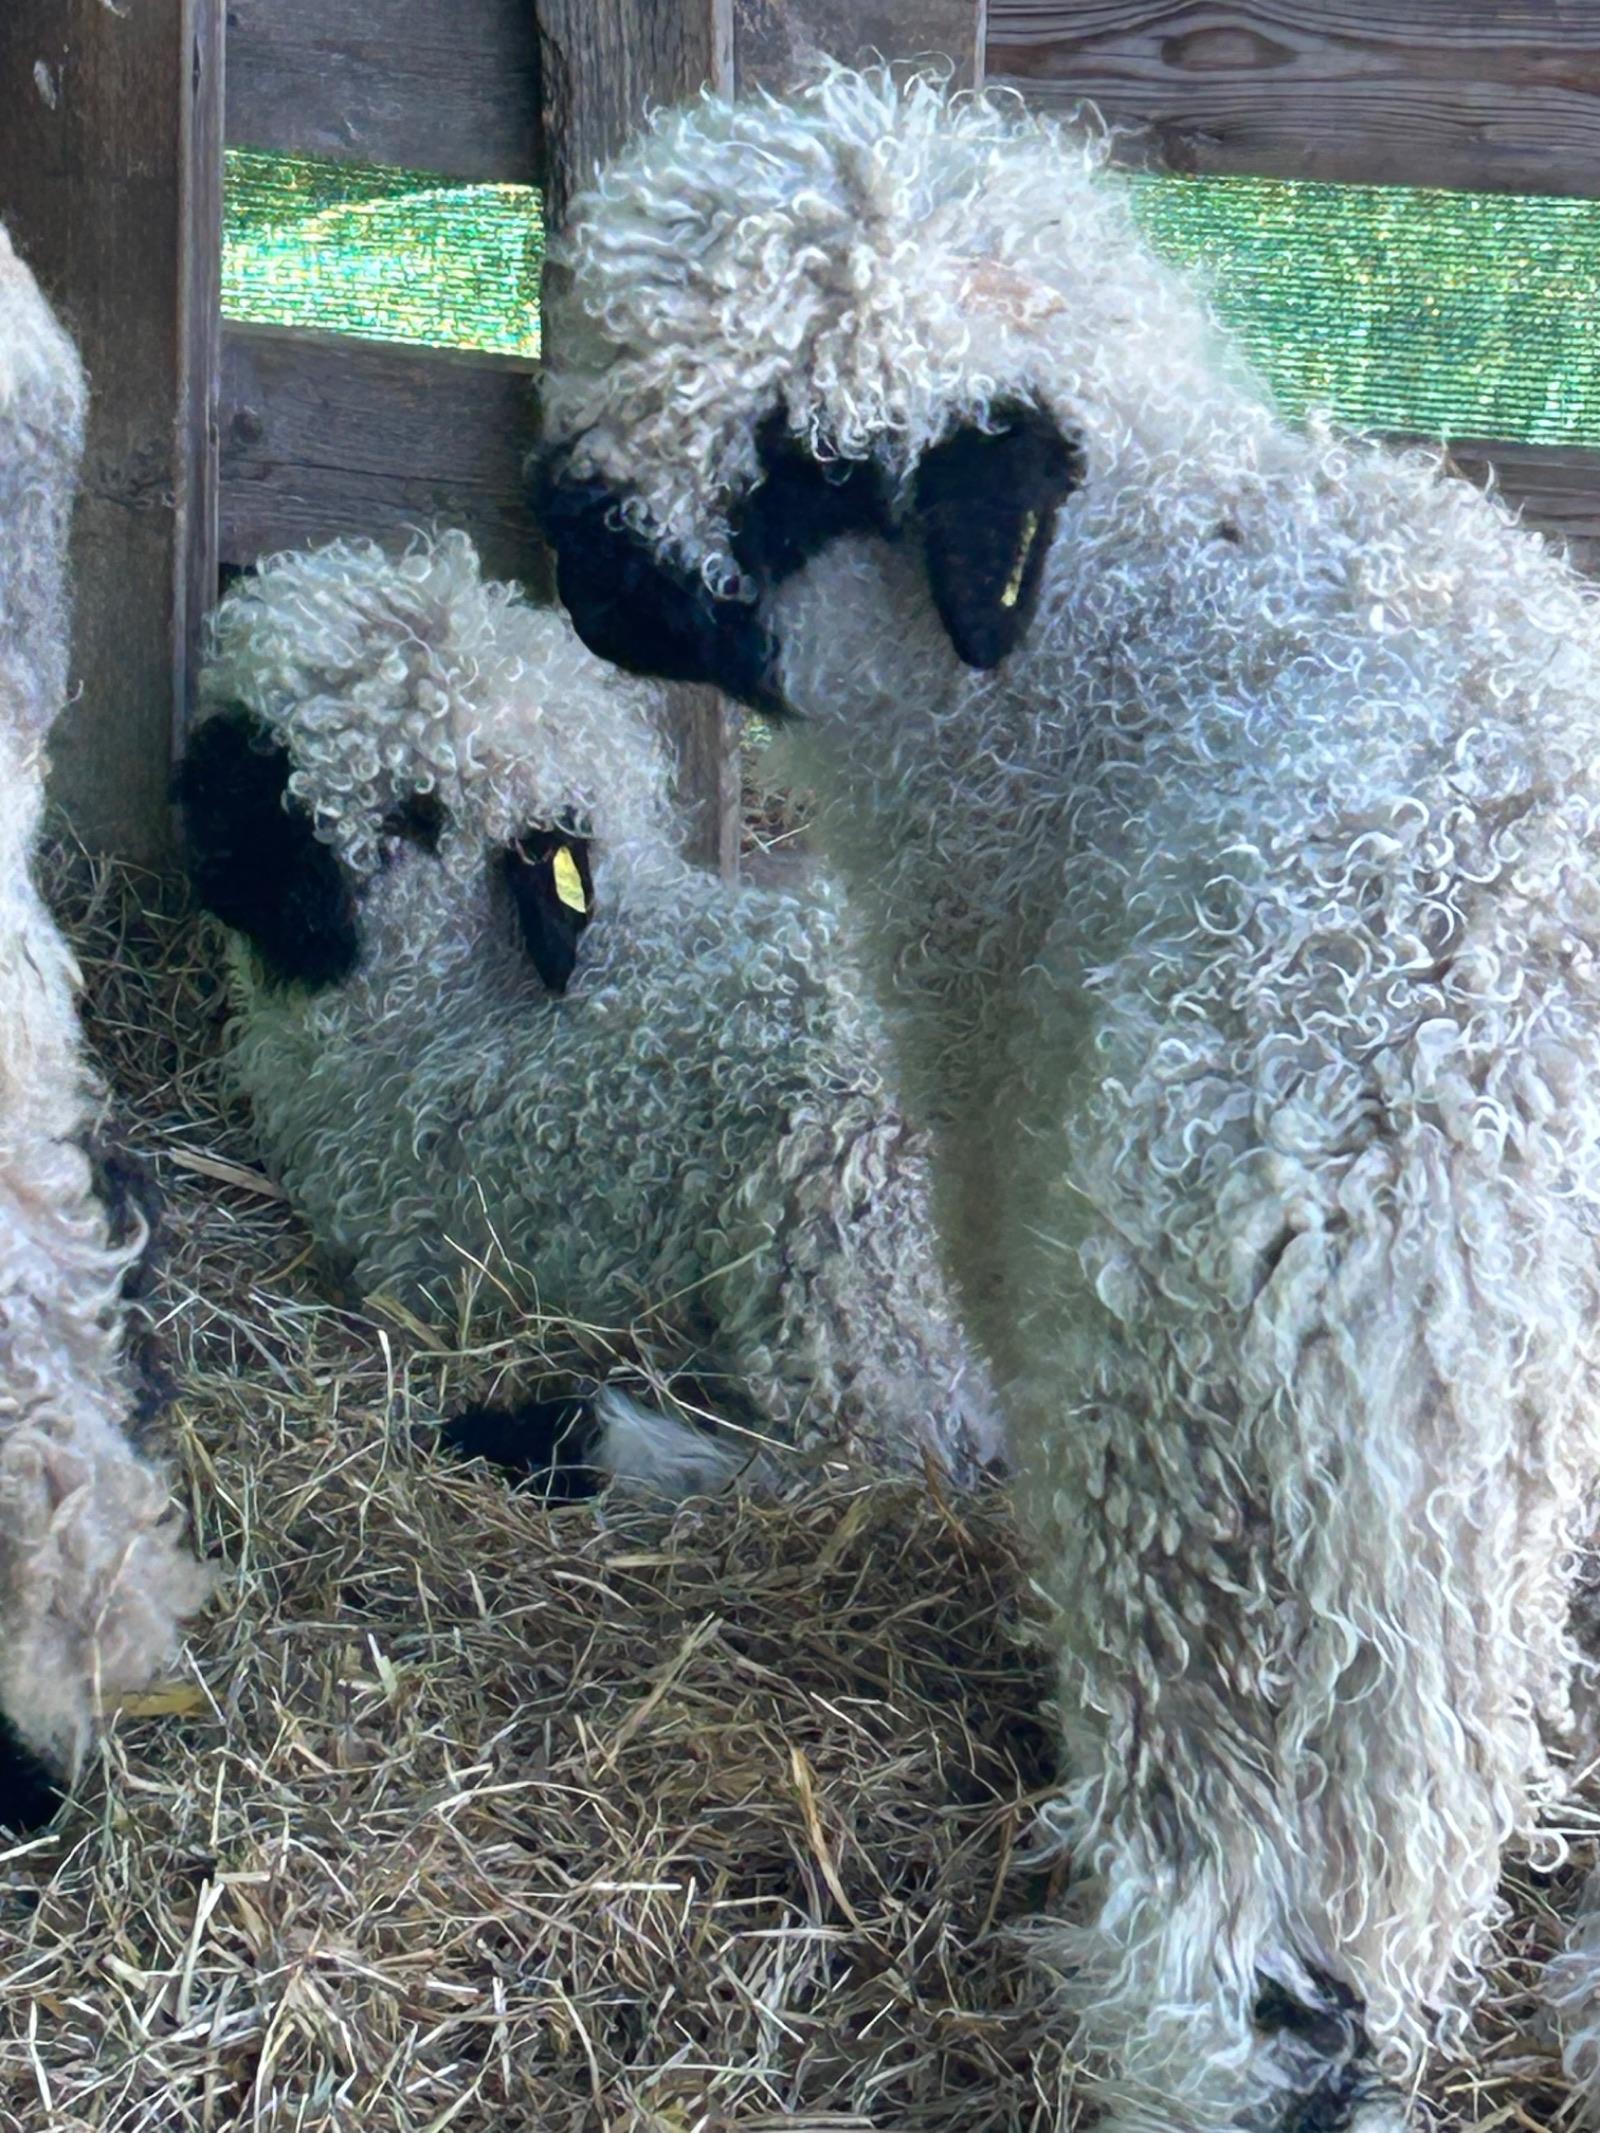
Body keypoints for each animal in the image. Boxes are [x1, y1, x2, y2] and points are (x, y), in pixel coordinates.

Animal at [176, 528, 1002, 1497]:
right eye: (252, 731)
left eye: (420, 814)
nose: (217, 855)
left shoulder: (416, 1245)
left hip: (846, 1265)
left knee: (863, 1464)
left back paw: (561, 1436)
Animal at [530, 63, 1600, 2133]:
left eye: (797, 469)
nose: (564, 536)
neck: (1115, 618)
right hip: (1457, 1549)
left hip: (1201, 1478)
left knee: (1249, 1914)